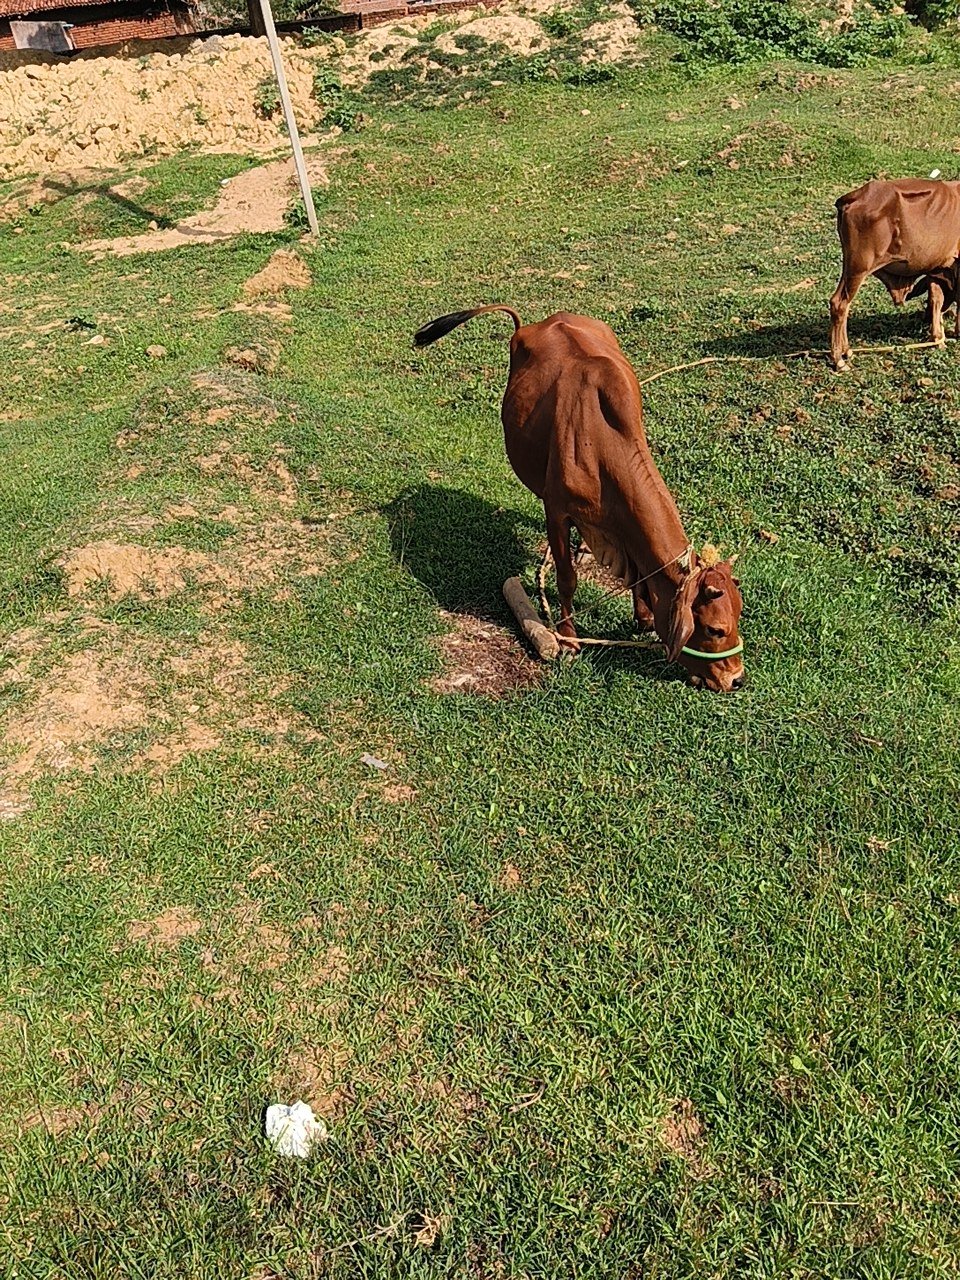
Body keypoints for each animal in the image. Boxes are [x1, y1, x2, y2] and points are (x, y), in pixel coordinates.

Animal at [414, 306, 745, 692]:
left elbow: (637, 574)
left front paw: (644, 617)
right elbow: (566, 579)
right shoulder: (558, 512)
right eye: (714, 629)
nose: (736, 678)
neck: (604, 449)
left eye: (739, 615)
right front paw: (569, 638)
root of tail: (537, 323)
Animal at [830, 178, 960, 370]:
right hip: (858, 267)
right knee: (839, 304)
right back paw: (838, 359)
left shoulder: (938, 268)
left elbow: (936, 299)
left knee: (844, 306)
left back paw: (846, 351)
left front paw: (938, 337)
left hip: (849, 268)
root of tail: (852, 197)